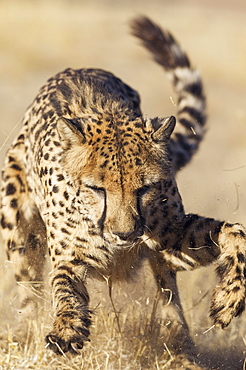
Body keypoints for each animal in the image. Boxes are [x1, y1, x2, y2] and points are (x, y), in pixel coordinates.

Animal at [0, 15, 246, 356]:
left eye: (145, 189)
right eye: (97, 189)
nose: (125, 234)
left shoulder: (171, 238)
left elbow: (235, 233)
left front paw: (228, 299)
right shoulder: (69, 252)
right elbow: (65, 288)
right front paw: (66, 329)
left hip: (159, 263)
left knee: (169, 294)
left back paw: (181, 345)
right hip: (17, 226)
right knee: (28, 290)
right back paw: (24, 332)